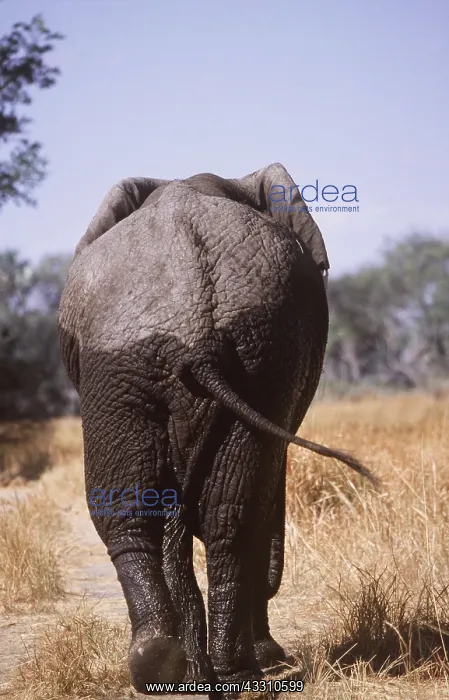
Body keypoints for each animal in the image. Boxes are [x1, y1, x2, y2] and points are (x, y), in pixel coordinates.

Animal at [59, 163, 377, 698]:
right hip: (209, 360)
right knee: (218, 513)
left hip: (215, 360)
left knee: (185, 513)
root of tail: (196, 334)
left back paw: (193, 670)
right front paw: (264, 657)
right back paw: (217, 672)